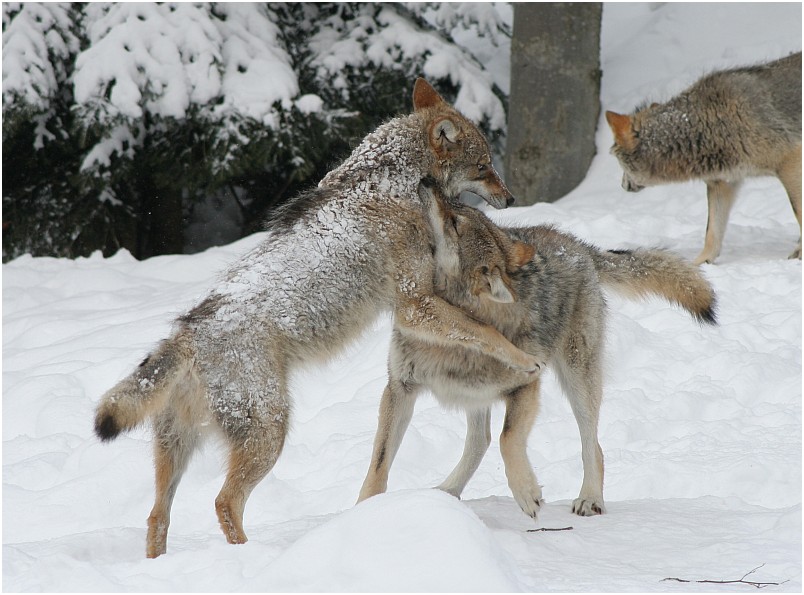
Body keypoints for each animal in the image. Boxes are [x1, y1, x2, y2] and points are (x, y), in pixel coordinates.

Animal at [92, 79, 540, 560]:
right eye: (484, 166)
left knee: (157, 517)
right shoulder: (414, 304)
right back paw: (254, 555)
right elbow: (483, 331)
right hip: (269, 437)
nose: (511, 198)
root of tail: (188, 332)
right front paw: (524, 360)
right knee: (223, 502)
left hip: (181, 449)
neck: (390, 181)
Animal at [358, 178, 716, 520]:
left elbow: (508, 439)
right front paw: (362, 512)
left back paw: (590, 499)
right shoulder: (399, 389)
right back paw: (445, 493)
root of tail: (579, 246)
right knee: (480, 440)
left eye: (456, 222)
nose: (428, 180)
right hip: (476, 394)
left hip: (578, 380)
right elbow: (378, 464)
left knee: (593, 446)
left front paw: (527, 493)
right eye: (456, 209)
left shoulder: (526, 387)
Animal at [608, 52, 800, 264]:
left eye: (618, 163)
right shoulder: (722, 183)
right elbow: (711, 232)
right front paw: (700, 264)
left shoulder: (790, 161)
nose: (623, 185)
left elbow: (798, 212)